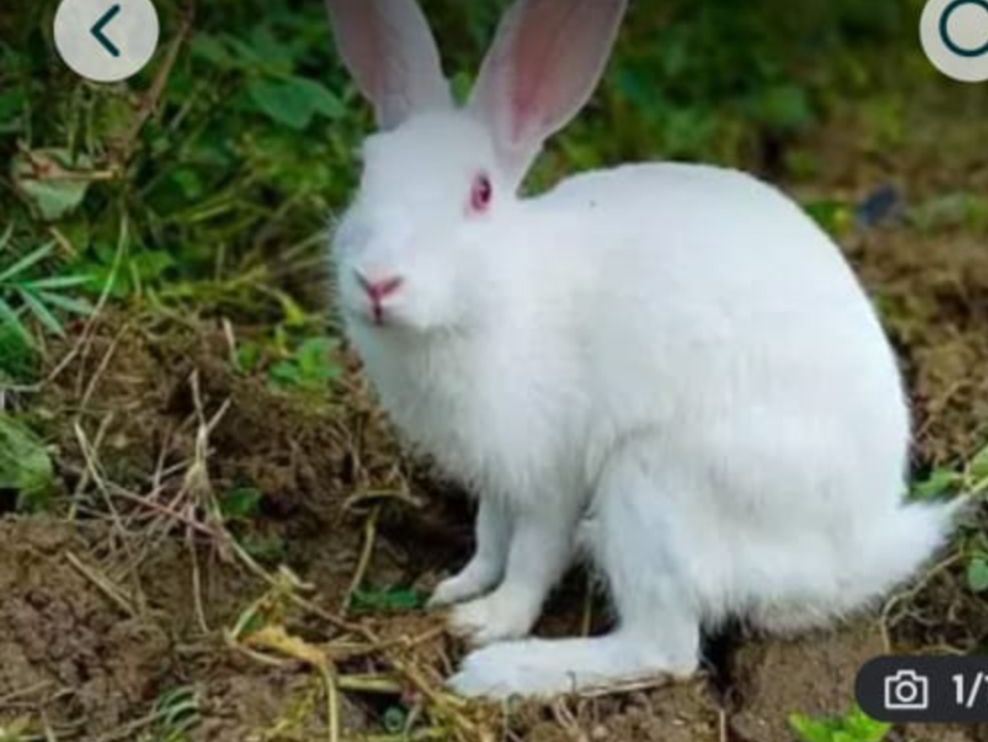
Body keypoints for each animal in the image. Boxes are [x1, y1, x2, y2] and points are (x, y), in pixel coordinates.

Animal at [323, 0, 959, 699]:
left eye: (481, 193)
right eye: (364, 173)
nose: (378, 283)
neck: (499, 294)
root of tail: (851, 557)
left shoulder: (549, 472)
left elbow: (529, 557)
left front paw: (486, 624)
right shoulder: (498, 476)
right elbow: (490, 536)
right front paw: (456, 588)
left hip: (655, 484)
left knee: (665, 648)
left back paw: (503, 673)